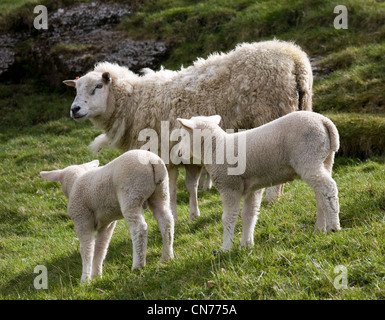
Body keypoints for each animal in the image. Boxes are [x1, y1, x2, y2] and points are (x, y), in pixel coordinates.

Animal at [39, 149, 174, 282]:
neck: (76, 181)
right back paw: (167, 257)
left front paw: (85, 279)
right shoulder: (107, 223)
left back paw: (138, 265)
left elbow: (87, 248)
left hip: (131, 194)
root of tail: (152, 161)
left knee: (139, 229)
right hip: (161, 192)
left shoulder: (82, 218)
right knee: (166, 221)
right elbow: (101, 247)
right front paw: (96, 276)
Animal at [176, 111, 340, 251]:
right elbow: (249, 215)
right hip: (324, 159)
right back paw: (320, 228)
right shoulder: (253, 188)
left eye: (183, 135)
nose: (179, 153)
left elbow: (228, 218)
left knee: (329, 187)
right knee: (321, 195)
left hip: (308, 158)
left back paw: (334, 226)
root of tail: (324, 122)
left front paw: (226, 248)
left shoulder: (229, 187)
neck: (215, 148)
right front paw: (246, 245)